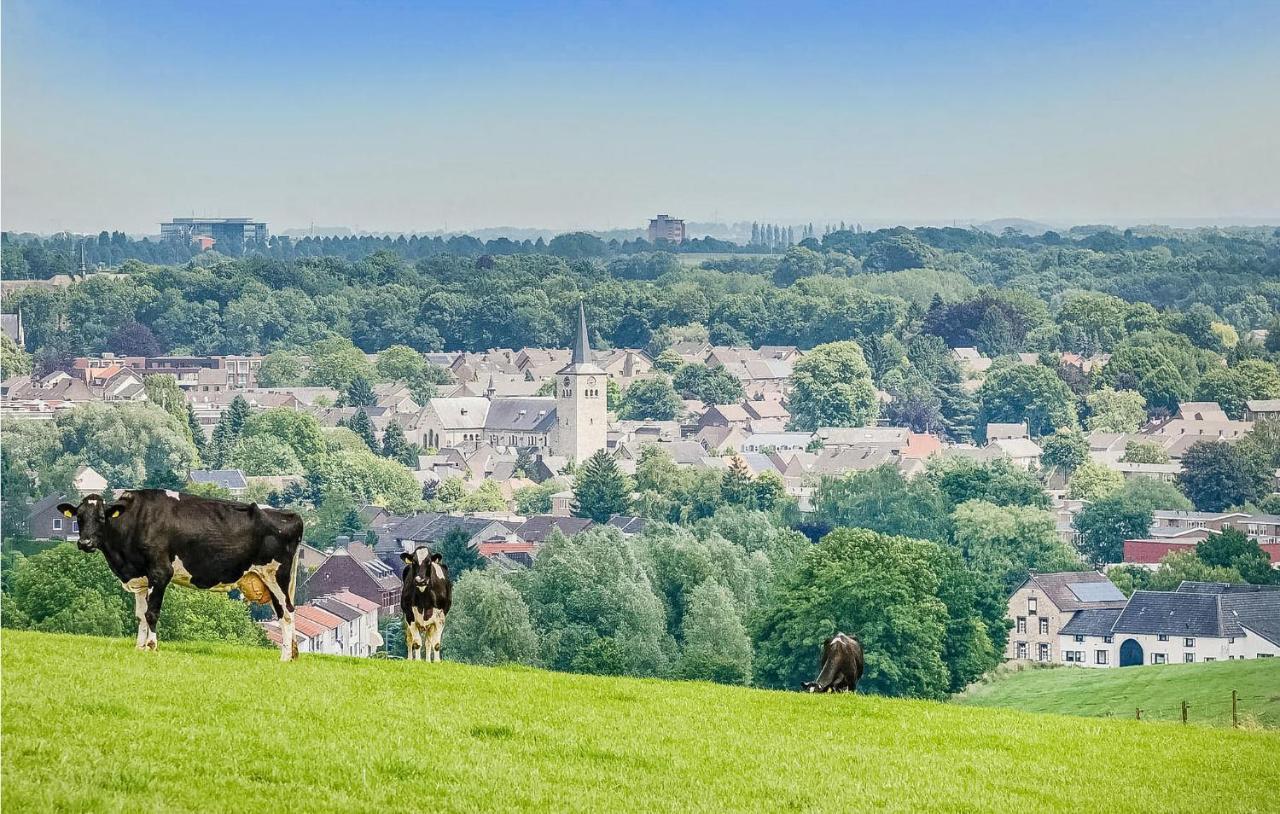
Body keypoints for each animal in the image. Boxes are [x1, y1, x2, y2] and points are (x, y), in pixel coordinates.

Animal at [58, 488, 305, 660]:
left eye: (102, 518)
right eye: (79, 518)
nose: (85, 543)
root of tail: (290, 515)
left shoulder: (160, 572)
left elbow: (152, 613)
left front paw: (152, 646)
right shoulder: (140, 578)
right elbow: (140, 614)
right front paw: (139, 647)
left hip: (276, 576)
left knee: (288, 613)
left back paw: (284, 658)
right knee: (283, 612)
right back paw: (291, 654)